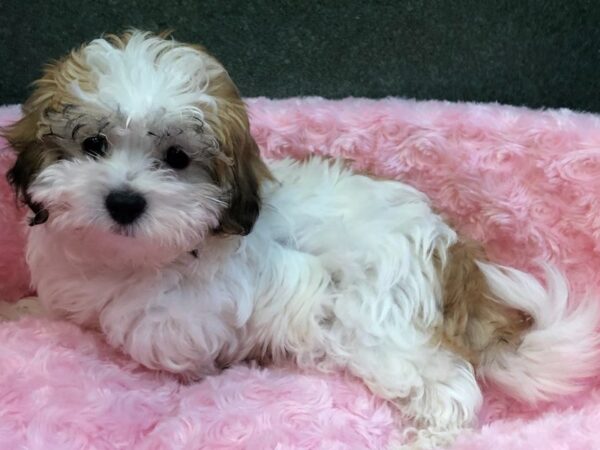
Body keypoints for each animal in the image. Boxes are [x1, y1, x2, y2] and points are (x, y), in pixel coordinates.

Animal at [4, 30, 600, 446]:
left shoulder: (184, 324)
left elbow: (154, 350)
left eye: (176, 158)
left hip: (376, 324)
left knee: (450, 383)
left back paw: (429, 437)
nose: (125, 201)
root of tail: (451, 253)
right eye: (94, 144)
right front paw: (21, 312)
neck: (126, 258)